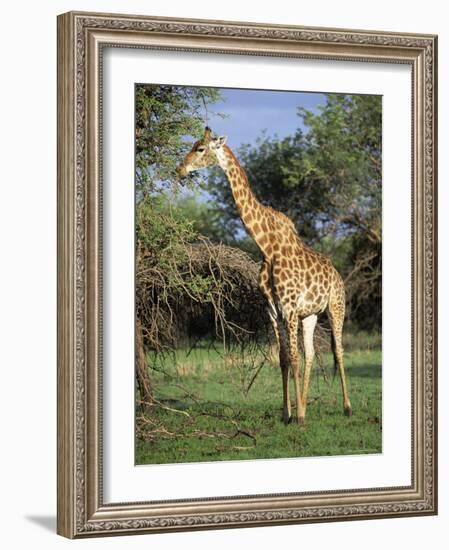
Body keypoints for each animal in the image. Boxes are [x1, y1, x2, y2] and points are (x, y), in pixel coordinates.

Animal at [177, 127, 352, 424]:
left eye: (200, 149)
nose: (180, 168)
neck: (266, 246)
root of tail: (338, 276)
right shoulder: (273, 309)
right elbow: (283, 358)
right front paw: (288, 413)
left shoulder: (289, 307)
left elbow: (293, 357)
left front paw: (298, 418)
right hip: (310, 315)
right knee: (311, 353)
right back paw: (306, 407)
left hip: (335, 307)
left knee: (338, 352)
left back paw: (347, 407)